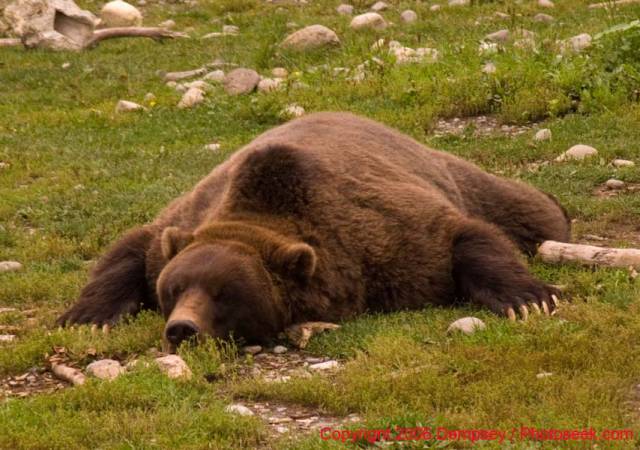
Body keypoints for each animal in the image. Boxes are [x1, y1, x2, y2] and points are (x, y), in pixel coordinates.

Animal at [57, 110, 568, 346]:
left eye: (224, 293)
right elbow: (132, 247)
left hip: (458, 175)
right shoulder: (186, 219)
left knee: (531, 211)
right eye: (174, 288)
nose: (183, 328)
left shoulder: (384, 240)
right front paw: (85, 317)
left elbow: (460, 237)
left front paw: (529, 298)